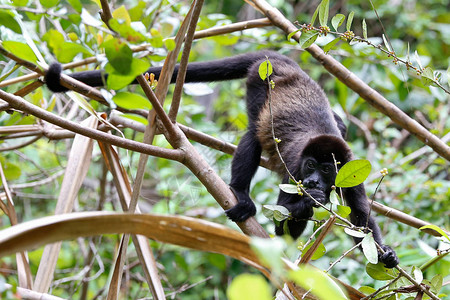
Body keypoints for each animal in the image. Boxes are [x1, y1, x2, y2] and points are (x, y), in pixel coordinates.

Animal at [44, 51, 398, 268]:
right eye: (311, 166)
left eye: (327, 169)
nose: (312, 181)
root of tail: (282, 61)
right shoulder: (294, 166)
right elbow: (283, 224)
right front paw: (310, 200)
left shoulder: (353, 171)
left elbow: (361, 214)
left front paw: (385, 254)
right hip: (258, 81)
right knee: (254, 134)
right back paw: (240, 194)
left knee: (335, 125)